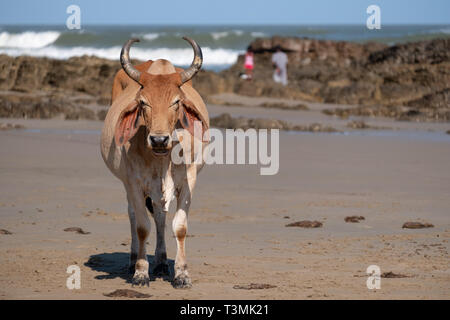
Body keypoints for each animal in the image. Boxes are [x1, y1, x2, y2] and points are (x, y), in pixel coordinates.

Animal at [100, 37, 209, 288]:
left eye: (176, 102)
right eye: (143, 102)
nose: (159, 139)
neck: (162, 158)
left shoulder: (188, 181)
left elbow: (179, 226)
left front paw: (182, 274)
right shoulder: (134, 182)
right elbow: (142, 227)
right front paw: (141, 273)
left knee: (160, 216)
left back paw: (160, 262)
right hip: (128, 184)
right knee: (133, 214)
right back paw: (133, 261)